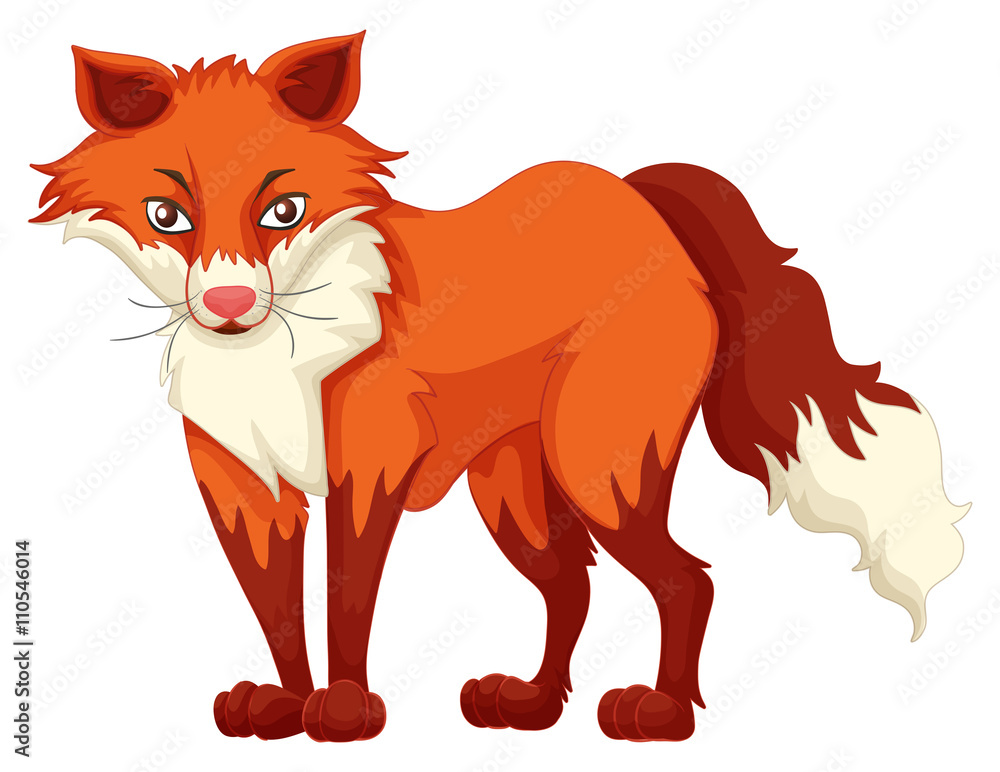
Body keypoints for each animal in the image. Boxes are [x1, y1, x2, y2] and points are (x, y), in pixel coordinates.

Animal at [33, 33, 968, 742]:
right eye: (167, 217)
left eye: (283, 212)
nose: (228, 305)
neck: (279, 354)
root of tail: (638, 197)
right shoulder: (245, 489)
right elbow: (277, 608)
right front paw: (286, 707)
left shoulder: (365, 468)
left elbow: (345, 598)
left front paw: (345, 710)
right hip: (512, 488)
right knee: (572, 584)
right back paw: (533, 705)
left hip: (599, 467)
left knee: (685, 580)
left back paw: (661, 716)